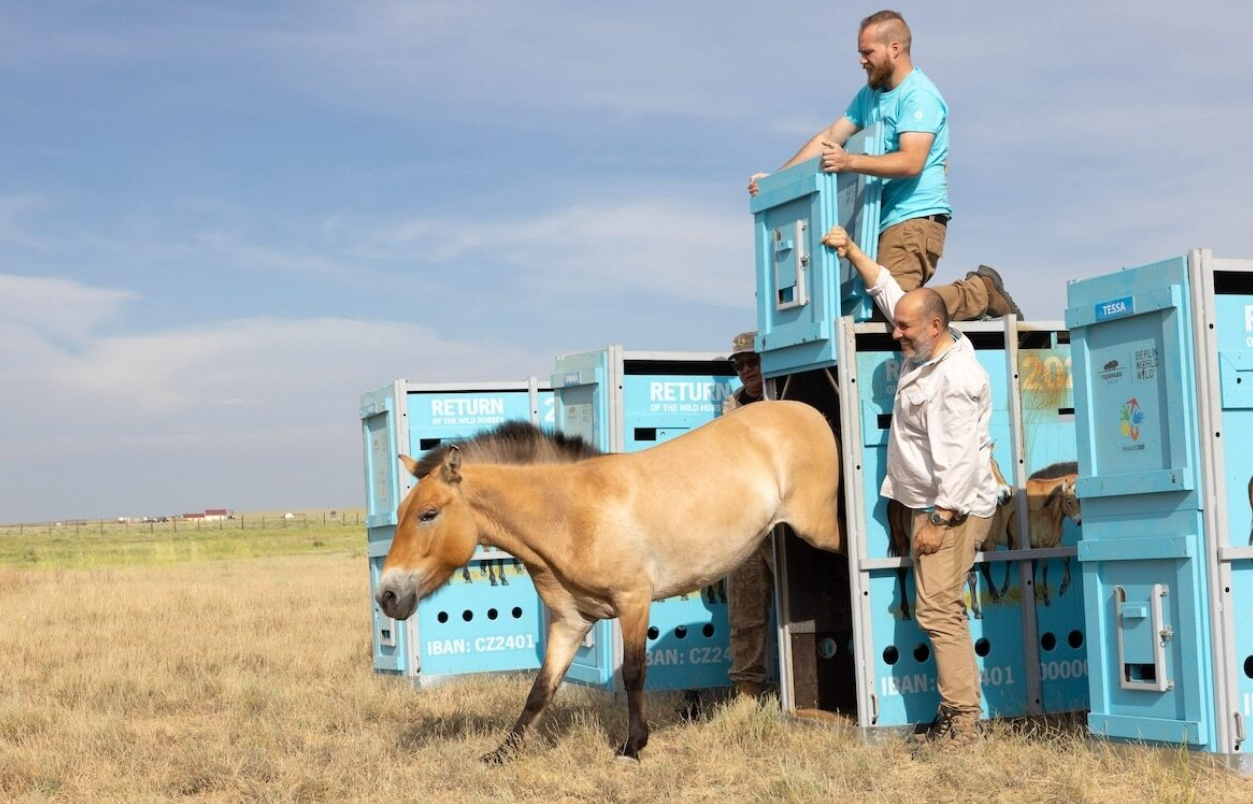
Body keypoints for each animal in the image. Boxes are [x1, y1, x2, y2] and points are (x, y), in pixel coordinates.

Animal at [370, 400, 842, 761]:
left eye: (428, 514)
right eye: (403, 512)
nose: (388, 595)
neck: (572, 513)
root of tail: (809, 413)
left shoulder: (634, 601)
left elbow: (633, 673)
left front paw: (632, 746)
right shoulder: (571, 623)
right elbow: (541, 689)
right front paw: (502, 753)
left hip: (821, 530)